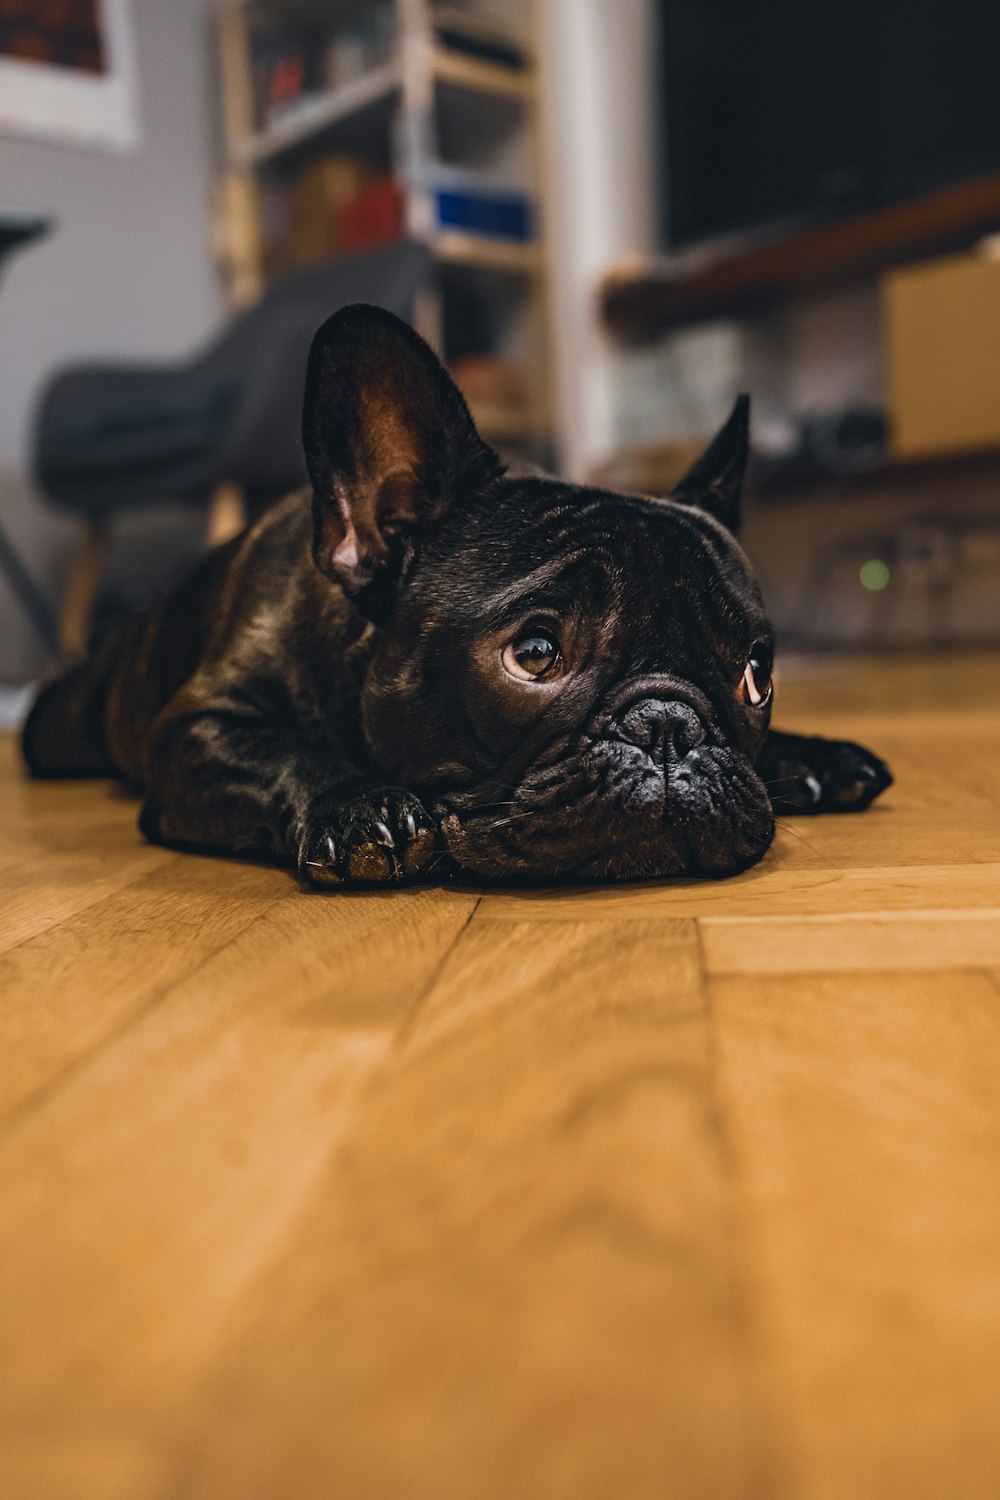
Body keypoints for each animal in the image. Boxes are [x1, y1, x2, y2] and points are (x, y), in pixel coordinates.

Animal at [21, 309, 893, 882]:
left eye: (757, 676)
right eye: (535, 653)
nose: (670, 728)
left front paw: (810, 754)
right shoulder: (197, 729)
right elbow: (282, 752)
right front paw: (358, 803)